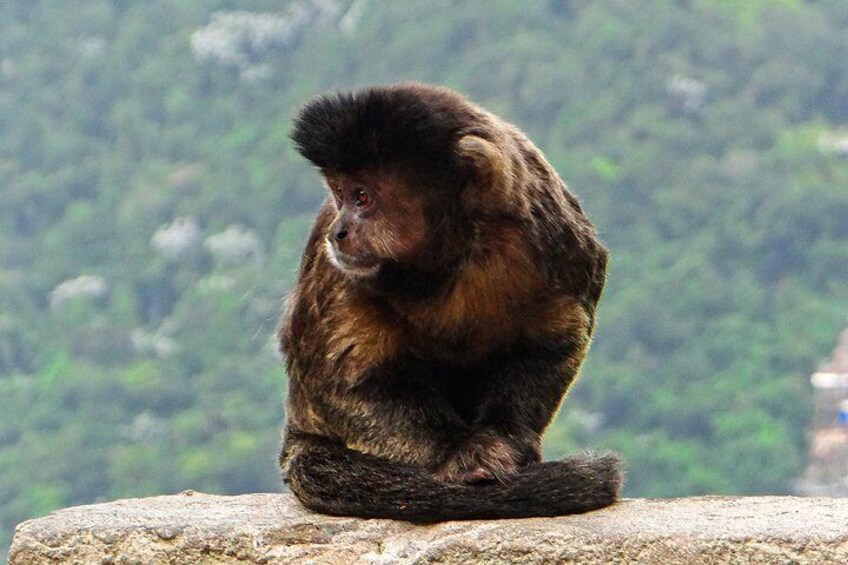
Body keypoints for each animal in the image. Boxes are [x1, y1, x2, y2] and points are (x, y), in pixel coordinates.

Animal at [278, 82, 623, 522]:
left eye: (362, 197)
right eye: (339, 196)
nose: (338, 232)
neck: (454, 250)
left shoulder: (548, 223)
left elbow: (555, 337)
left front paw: (509, 438)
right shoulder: (338, 270)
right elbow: (344, 379)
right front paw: (460, 450)